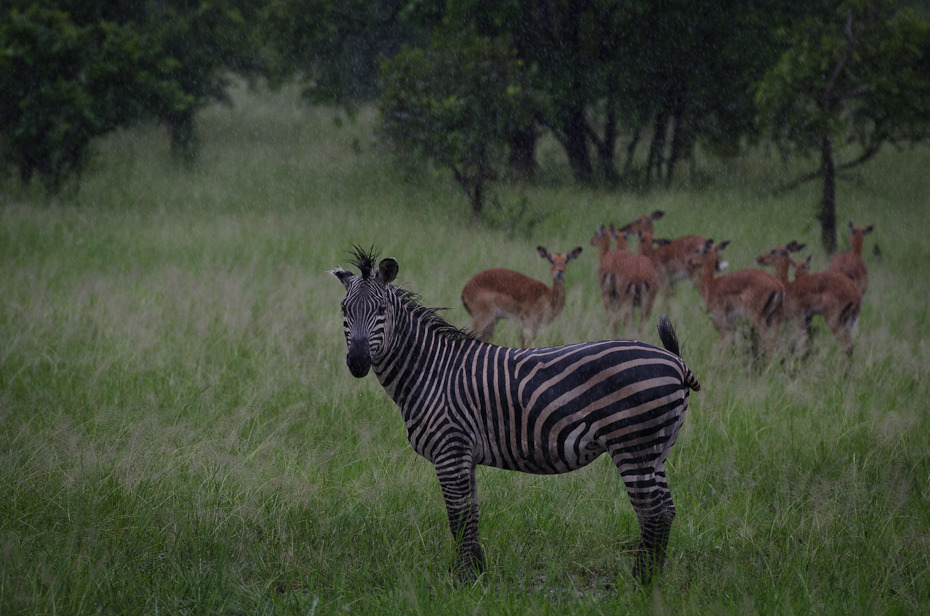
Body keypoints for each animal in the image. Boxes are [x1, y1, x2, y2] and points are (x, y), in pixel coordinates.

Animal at [330, 248, 700, 584]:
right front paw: (478, 575)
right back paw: (651, 581)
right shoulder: (464, 455)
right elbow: (471, 516)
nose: (358, 362)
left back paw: (641, 584)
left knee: (652, 513)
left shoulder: (450, 450)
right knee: (666, 511)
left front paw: (461, 581)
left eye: (381, 310)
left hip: (634, 444)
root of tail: (676, 361)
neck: (431, 372)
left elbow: (457, 518)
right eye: (345, 310)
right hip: (657, 450)